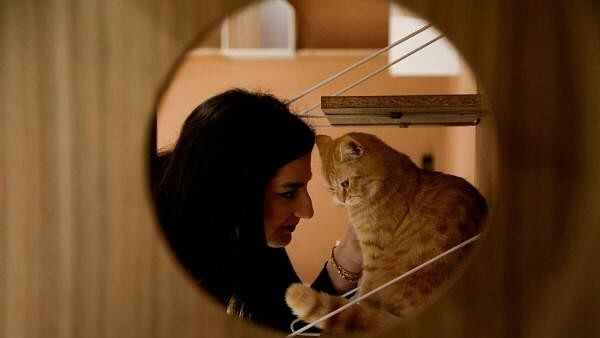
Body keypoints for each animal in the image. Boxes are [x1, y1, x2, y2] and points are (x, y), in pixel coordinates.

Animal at [286, 132, 488, 332]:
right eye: (330, 188)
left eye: (345, 183)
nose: (341, 200)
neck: (385, 183)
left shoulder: (372, 253)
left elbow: (365, 290)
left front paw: (359, 304)